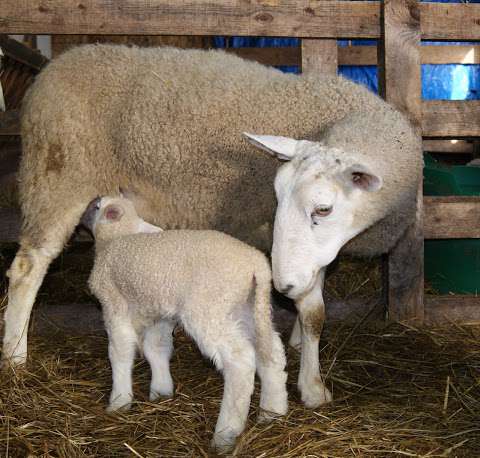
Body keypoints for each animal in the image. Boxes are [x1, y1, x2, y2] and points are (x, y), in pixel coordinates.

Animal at [1, 43, 418, 408]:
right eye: (277, 197)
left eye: (324, 209)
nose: (281, 285)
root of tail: (52, 69)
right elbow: (314, 312)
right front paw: (313, 387)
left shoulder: (312, 252)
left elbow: (313, 294)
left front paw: (299, 341)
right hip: (58, 179)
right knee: (27, 268)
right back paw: (15, 355)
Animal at [84, 193, 286, 450]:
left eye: (98, 206)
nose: (90, 203)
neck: (117, 238)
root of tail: (256, 265)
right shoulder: (159, 313)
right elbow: (156, 348)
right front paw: (161, 391)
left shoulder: (113, 304)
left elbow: (120, 352)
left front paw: (119, 401)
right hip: (248, 308)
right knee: (271, 351)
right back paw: (273, 412)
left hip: (208, 309)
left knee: (240, 361)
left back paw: (226, 433)